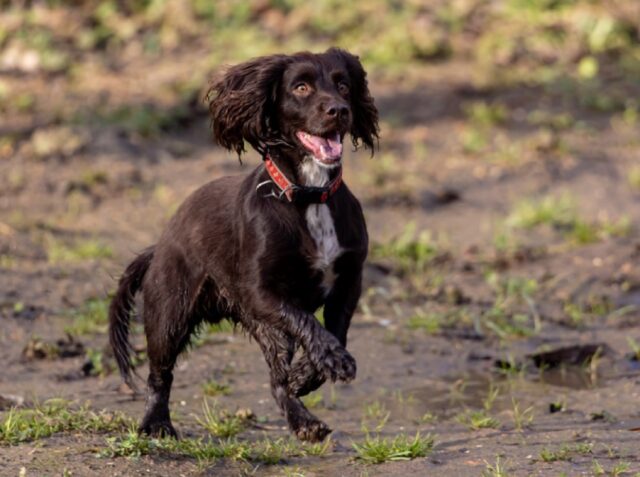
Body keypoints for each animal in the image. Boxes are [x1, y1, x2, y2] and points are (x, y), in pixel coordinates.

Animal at [109, 46, 378, 440]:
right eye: (300, 87)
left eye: (343, 85)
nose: (339, 110)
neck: (308, 195)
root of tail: (159, 245)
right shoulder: (259, 292)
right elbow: (307, 321)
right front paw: (330, 359)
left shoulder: (348, 282)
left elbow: (335, 332)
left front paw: (308, 373)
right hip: (169, 311)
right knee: (159, 374)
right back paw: (155, 423)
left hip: (263, 328)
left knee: (276, 380)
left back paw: (304, 421)